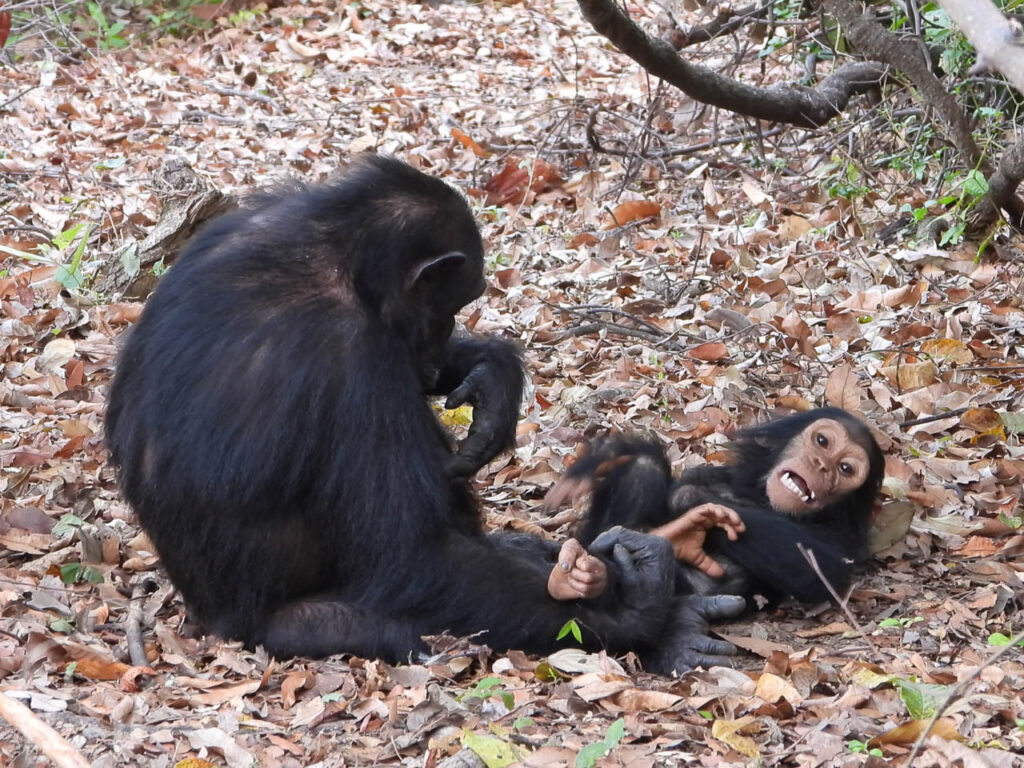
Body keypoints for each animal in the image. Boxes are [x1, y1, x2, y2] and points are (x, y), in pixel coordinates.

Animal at [105, 156, 745, 671]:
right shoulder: (350, 360)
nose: (438, 344)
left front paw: (491, 376)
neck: (337, 257)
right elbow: (413, 554)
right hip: (289, 628)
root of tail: (210, 624)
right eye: (450, 304)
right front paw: (639, 613)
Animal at [544, 409, 888, 606]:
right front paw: (602, 457)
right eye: (822, 441)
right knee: (644, 469)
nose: (822, 465)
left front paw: (691, 506)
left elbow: (822, 569)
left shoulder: (842, 538)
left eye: (845, 469)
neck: (760, 497)